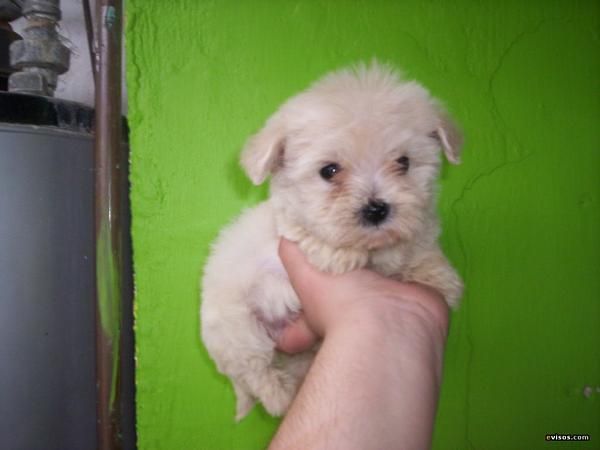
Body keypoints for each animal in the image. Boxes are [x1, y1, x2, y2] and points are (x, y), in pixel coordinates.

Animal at [202, 64, 464, 422]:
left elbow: (415, 246)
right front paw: (339, 254)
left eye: (404, 162)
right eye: (329, 171)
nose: (376, 209)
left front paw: (437, 276)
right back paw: (281, 395)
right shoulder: (288, 230)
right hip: (237, 331)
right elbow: (310, 235)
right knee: (256, 369)